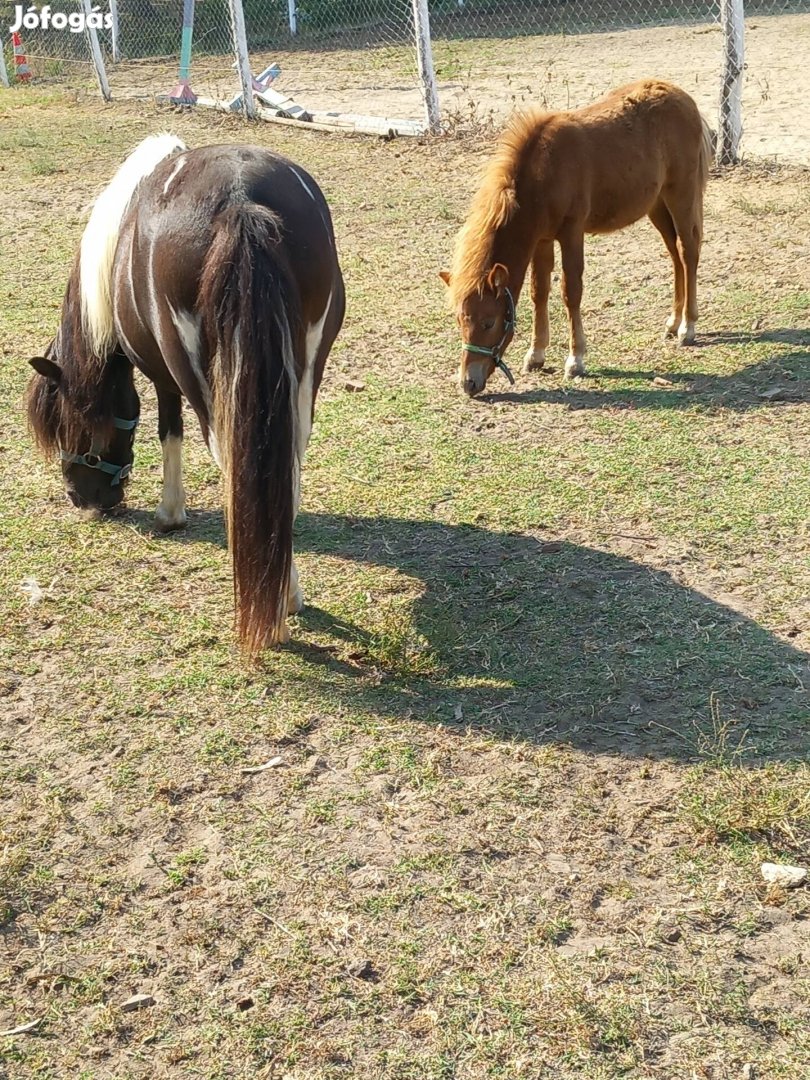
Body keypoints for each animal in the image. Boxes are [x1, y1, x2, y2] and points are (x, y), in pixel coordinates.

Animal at [27, 139, 345, 652]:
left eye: (68, 424)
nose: (81, 499)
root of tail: (241, 201)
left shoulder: (161, 373)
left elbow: (168, 431)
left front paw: (169, 512)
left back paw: (275, 609)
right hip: (302, 373)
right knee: (286, 473)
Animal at [440, 81, 712, 397]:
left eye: (488, 322)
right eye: (460, 319)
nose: (469, 383)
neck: (543, 173)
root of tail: (683, 97)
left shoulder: (571, 232)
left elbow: (571, 292)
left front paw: (575, 359)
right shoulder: (542, 240)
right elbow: (539, 292)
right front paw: (536, 354)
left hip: (681, 193)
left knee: (687, 250)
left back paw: (687, 328)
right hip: (656, 204)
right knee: (674, 254)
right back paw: (673, 321)